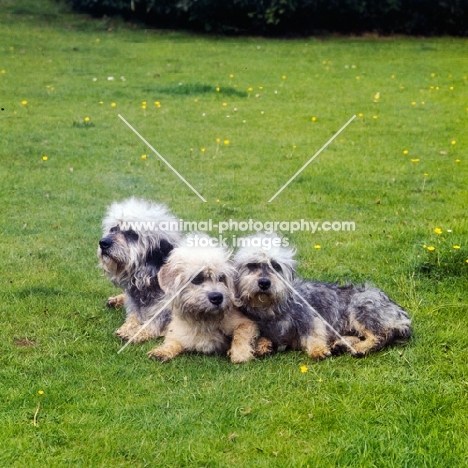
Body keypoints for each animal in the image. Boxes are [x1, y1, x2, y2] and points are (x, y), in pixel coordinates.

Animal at [98, 196, 180, 342]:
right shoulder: (135, 305)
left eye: (132, 234)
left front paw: (134, 333)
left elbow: (153, 324)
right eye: (113, 229)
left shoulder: (167, 312)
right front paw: (127, 327)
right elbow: (132, 316)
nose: (103, 243)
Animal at [148, 236, 258, 364]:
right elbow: (172, 342)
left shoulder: (245, 322)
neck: (204, 320)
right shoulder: (178, 333)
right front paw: (163, 351)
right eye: (196, 279)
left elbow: (241, 333)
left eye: (221, 277)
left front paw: (240, 352)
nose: (217, 298)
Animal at [232, 233, 412, 358]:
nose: (264, 283)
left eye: (276, 266)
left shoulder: (310, 317)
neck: (271, 308)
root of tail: (399, 312)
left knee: (380, 335)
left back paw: (360, 348)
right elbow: (264, 338)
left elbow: (313, 333)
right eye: (252, 265)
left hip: (361, 308)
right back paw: (342, 344)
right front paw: (262, 346)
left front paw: (318, 350)